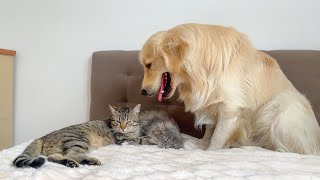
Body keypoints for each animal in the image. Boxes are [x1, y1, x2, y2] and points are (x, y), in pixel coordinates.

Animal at [13, 103, 141, 168]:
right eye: (118, 121)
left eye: (129, 121)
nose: (123, 127)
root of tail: (44, 136)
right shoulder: (122, 139)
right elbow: (139, 139)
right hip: (80, 140)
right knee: (71, 154)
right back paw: (89, 161)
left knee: (52, 157)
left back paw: (69, 162)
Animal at [139, 22, 320, 155]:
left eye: (148, 65)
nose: (142, 91)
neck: (204, 66)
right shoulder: (212, 105)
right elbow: (209, 133)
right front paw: (199, 144)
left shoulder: (230, 110)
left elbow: (216, 140)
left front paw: (208, 152)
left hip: (279, 108)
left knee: (289, 151)